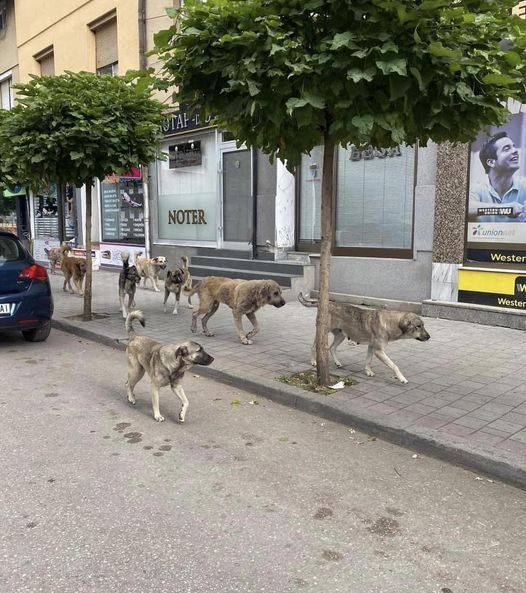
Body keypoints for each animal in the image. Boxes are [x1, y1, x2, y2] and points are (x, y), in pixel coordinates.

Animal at [300, 292, 432, 384]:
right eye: (419, 326)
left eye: (423, 325)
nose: (429, 337)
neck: (390, 323)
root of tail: (329, 303)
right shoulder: (379, 351)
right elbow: (394, 365)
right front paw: (401, 378)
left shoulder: (371, 347)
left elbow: (368, 361)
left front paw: (368, 372)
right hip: (323, 332)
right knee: (314, 347)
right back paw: (313, 361)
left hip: (341, 336)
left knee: (331, 348)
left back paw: (337, 362)